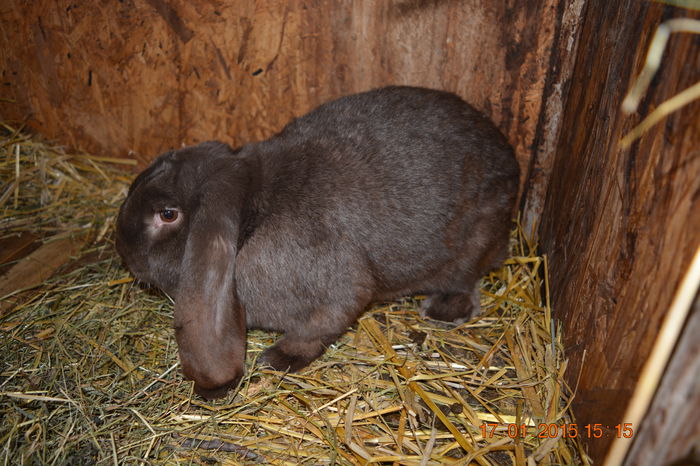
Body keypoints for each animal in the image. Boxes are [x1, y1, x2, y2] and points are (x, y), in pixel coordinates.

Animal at [115, 85, 520, 398]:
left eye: (168, 214)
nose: (124, 253)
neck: (253, 211)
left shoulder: (339, 291)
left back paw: (442, 309)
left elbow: (321, 325)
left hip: (473, 241)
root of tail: (512, 164)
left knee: (466, 281)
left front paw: (276, 360)